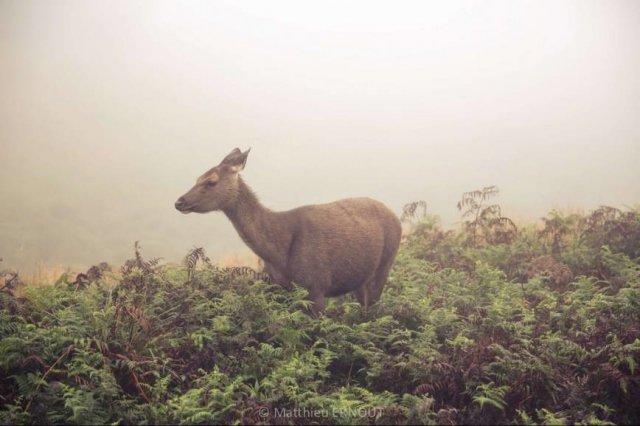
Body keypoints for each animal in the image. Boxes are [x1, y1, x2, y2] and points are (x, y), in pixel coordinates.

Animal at [176, 148, 400, 314]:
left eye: (211, 181)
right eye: (197, 177)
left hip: (386, 263)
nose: (179, 202)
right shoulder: (280, 287)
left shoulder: (317, 285)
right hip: (361, 279)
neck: (279, 252)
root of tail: (395, 216)